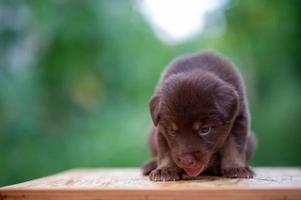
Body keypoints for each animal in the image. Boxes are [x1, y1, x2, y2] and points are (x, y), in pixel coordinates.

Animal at [142, 51, 254, 181]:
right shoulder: (161, 129)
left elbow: (234, 146)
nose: (186, 161)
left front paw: (236, 168)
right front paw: (165, 169)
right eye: (172, 131)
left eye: (205, 130)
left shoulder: (239, 118)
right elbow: (165, 150)